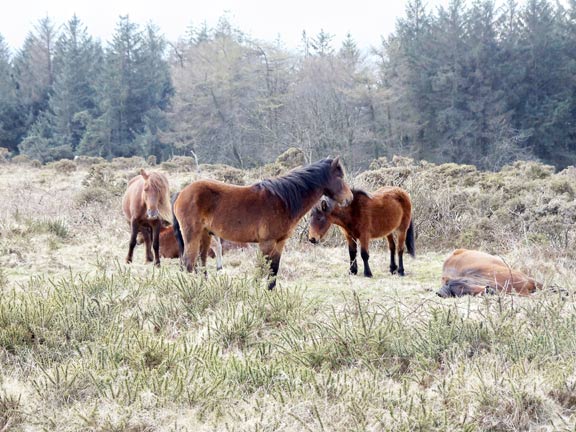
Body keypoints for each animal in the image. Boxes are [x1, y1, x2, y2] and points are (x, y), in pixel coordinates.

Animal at [172, 157, 352, 288]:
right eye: (340, 176)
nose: (350, 199)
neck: (283, 200)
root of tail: (181, 192)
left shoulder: (279, 242)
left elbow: (273, 270)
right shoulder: (266, 243)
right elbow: (261, 270)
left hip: (205, 235)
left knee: (200, 264)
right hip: (192, 235)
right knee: (189, 263)